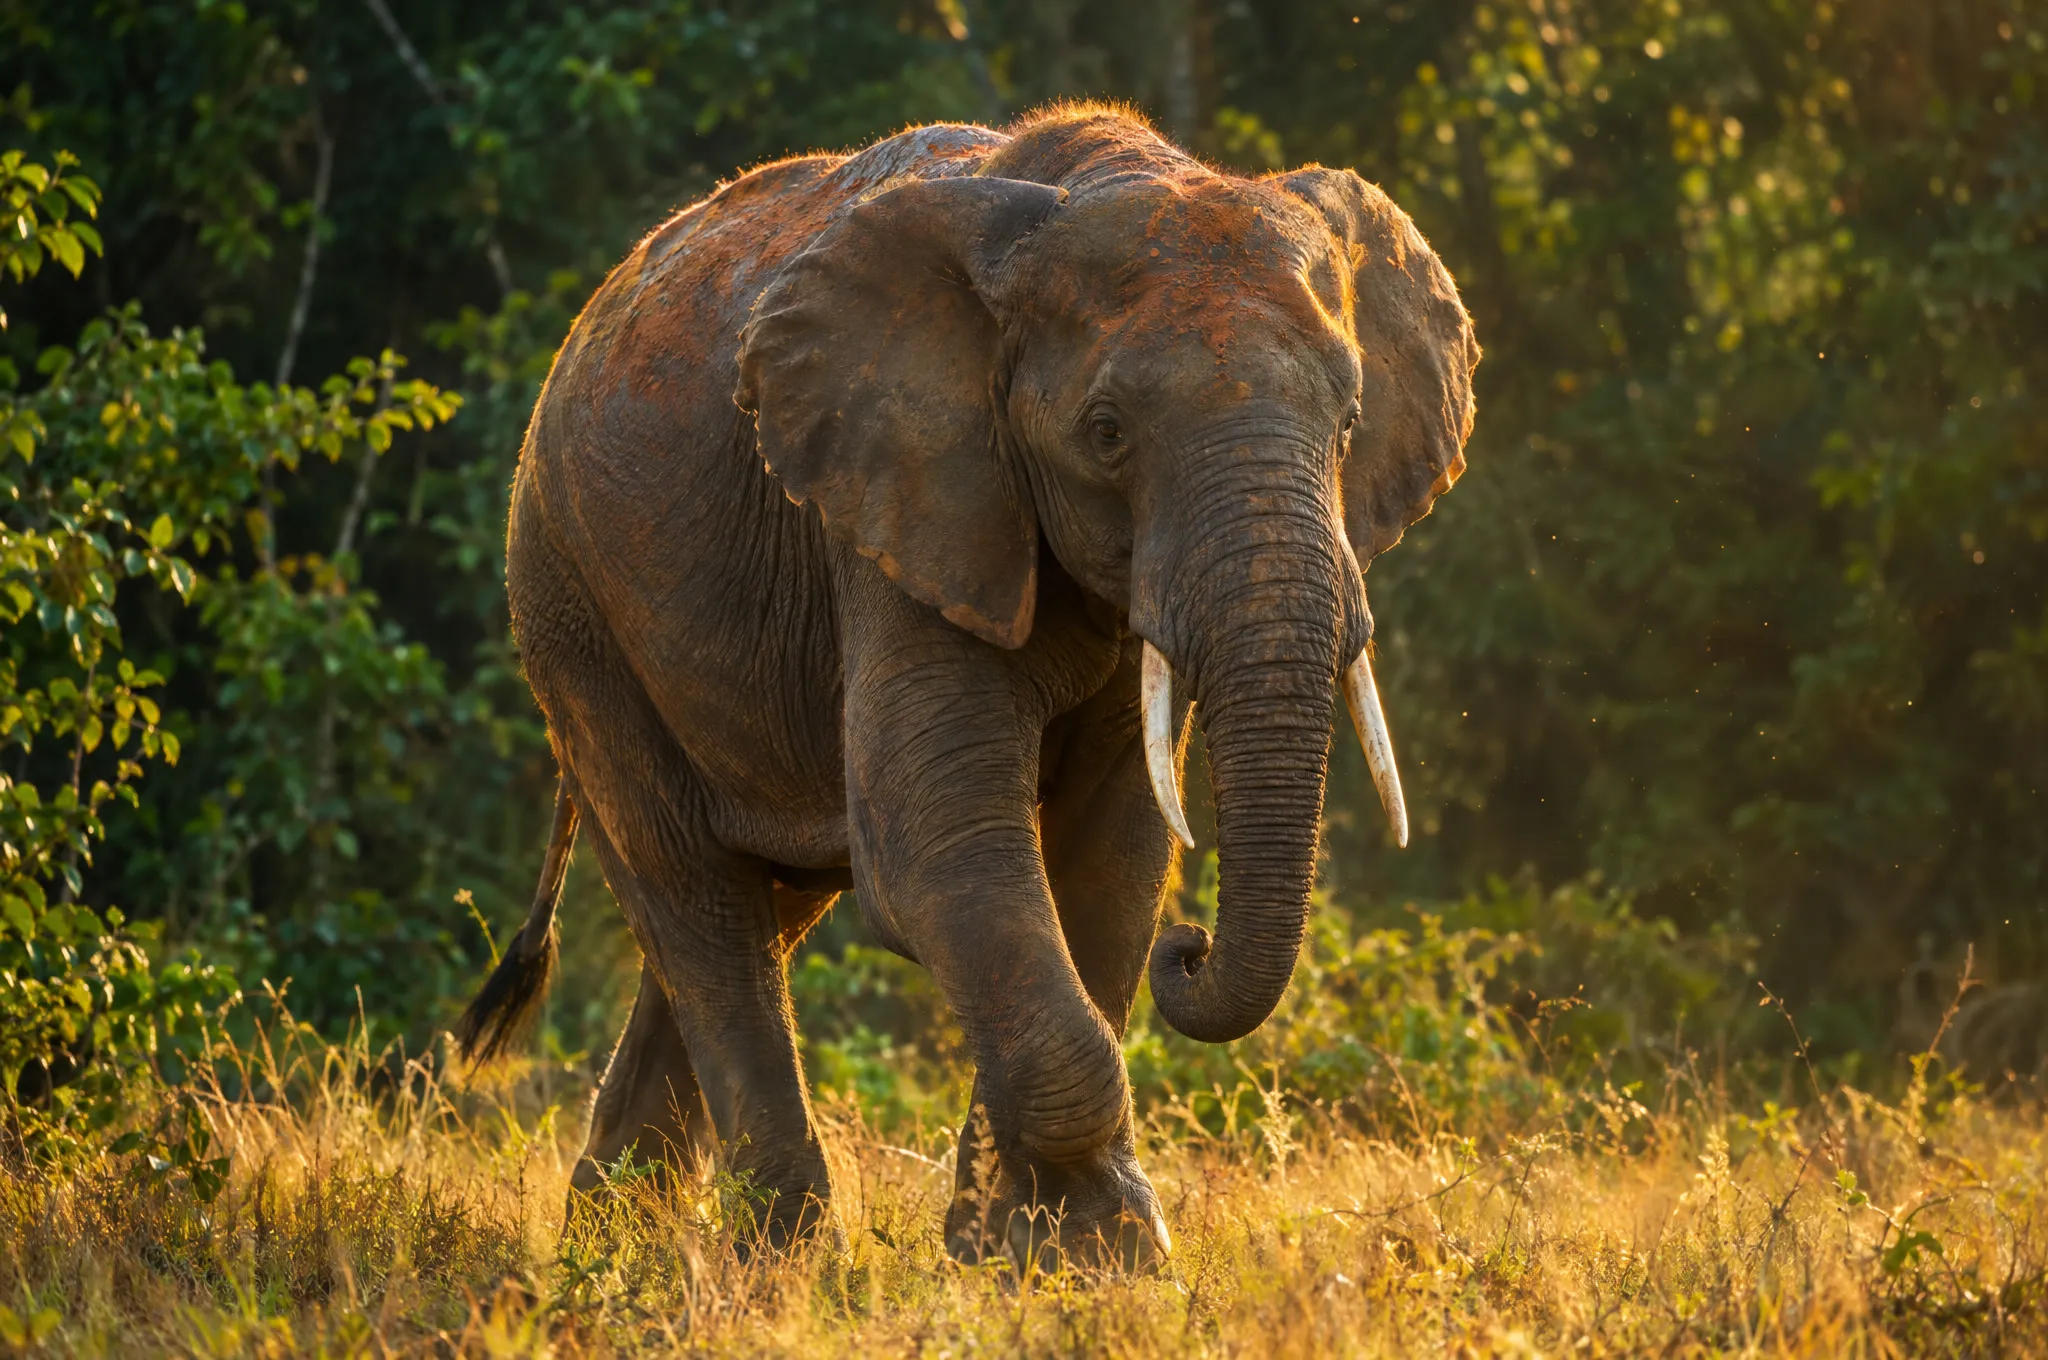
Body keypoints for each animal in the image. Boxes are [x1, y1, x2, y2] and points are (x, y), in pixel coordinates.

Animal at [455, 103, 1479, 1266]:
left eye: (1349, 424)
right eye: (1105, 433)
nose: (1192, 949)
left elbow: (1111, 853)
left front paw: (1045, 1256)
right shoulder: (903, 503)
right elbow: (940, 849)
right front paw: (1082, 1247)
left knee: (751, 908)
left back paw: (618, 1254)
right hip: (570, 603)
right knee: (695, 895)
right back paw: (775, 1262)